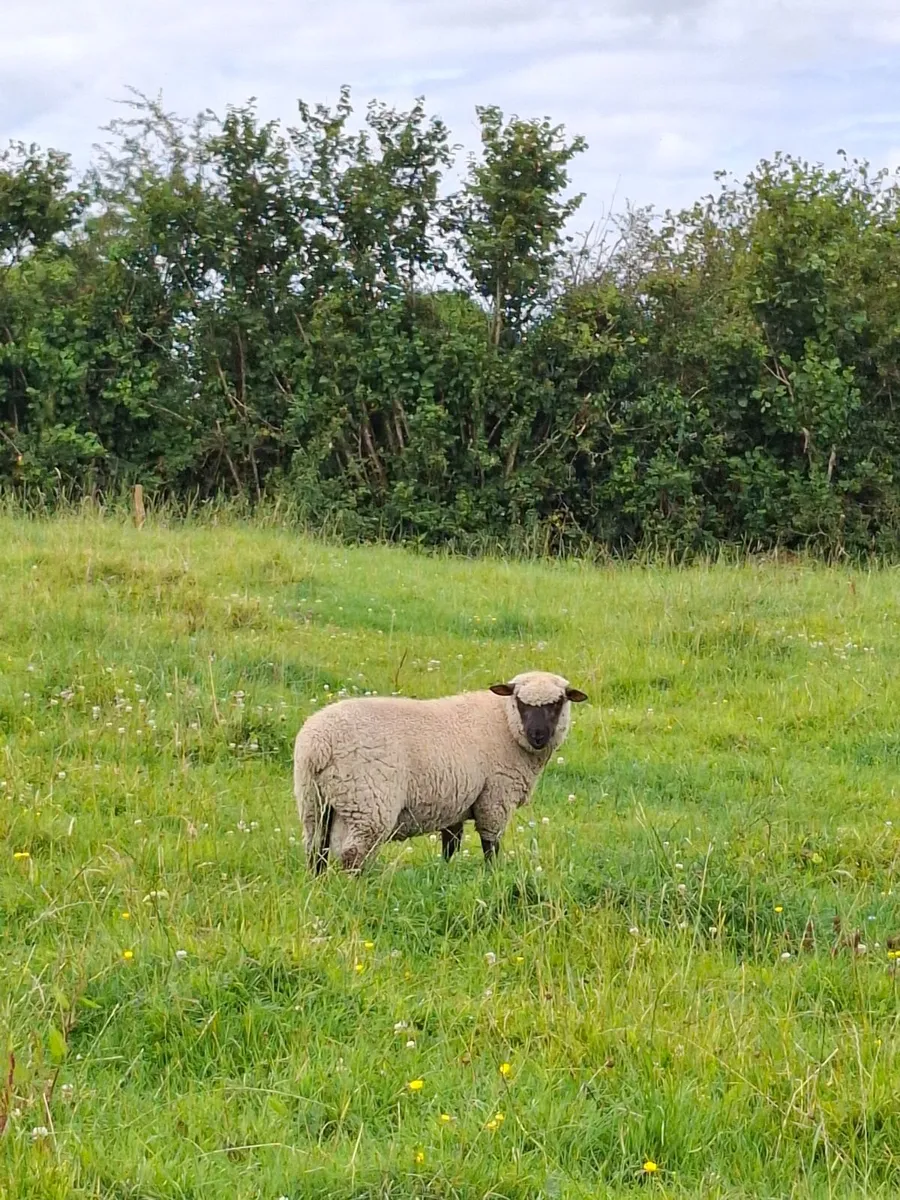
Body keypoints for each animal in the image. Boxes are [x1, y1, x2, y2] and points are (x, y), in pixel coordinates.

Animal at [293, 670, 588, 873]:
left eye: (557, 703)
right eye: (520, 702)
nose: (538, 736)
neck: (504, 722)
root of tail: (319, 743)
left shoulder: (455, 800)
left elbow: (450, 845)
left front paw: (444, 873)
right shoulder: (495, 797)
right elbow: (490, 844)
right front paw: (493, 875)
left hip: (314, 800)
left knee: (316, 849)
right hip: (367, 803)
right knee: (352, 854)